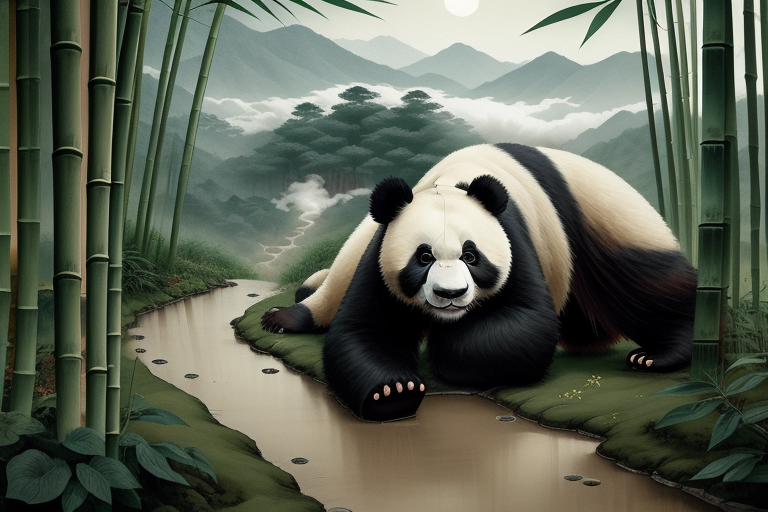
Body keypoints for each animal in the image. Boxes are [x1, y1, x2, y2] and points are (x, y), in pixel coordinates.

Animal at [261, 143, 697, 422]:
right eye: (422, 258)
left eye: (472, 257)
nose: (450, 295)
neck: (449, 185)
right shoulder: (381, 253)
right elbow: (365, 329)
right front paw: (393, 393)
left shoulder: (514, 236)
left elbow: (523, 322)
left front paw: (445, 349)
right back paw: (286, 315)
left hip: (599, 220)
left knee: (645, 282)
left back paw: (657, 355)